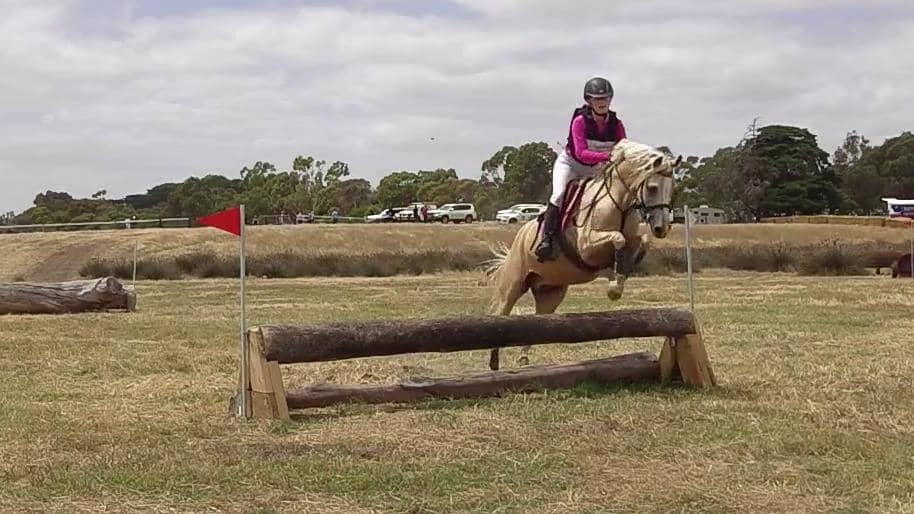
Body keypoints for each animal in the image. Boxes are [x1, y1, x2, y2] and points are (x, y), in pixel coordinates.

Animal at [484, 139, 676, 368]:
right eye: (652, 188)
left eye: (671, 189)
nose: (661, 228)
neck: (619, 202)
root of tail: (520, 235)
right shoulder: (587, 247)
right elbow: (618, 239)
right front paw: (614, 287)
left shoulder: (631, 238)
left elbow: (641, 241)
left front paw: (619, 276)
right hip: (514, 282)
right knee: (500, 311)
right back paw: (494, 361)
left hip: (550, 292)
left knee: (536, 322)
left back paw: (523, 361)